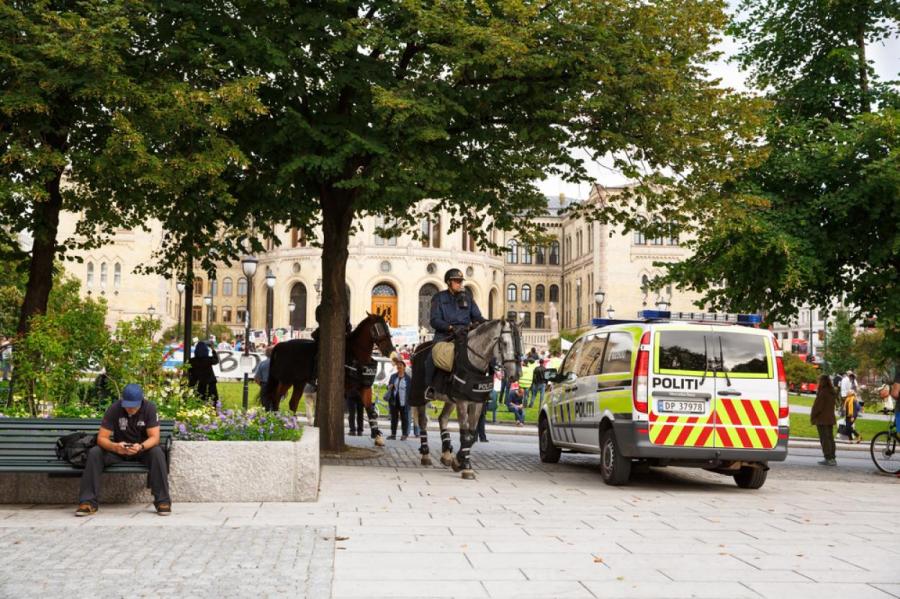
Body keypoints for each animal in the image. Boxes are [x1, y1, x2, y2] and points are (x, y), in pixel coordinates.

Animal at [410, 322, 520, 480]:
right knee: (423, 421)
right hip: (420, 395)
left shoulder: (477, 402)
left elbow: (472, 435)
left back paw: (446, 454)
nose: (515, 375)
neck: (474, 363)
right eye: (504, 343)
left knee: (443, 419)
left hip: (450, 399)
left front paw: (460, 461)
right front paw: (466, 466)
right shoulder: (462, 402)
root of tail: (418, 349)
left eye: (518, 342)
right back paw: (425, 454)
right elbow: (465, 433)